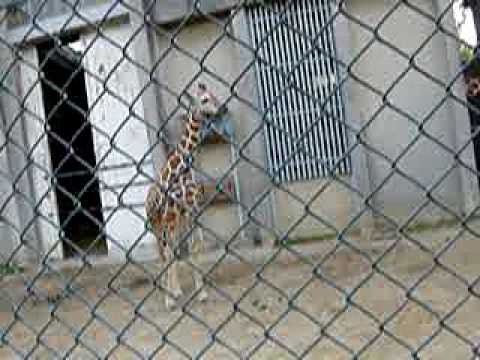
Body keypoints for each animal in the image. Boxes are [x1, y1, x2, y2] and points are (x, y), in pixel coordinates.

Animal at [144, 82, 225, 310]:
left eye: (214, 95)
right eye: (204, 99)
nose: (221, 108)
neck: (183, 169)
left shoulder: (191, 212)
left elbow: (195, 248)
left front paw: (201, 293)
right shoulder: (170, 215)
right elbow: (171, 255)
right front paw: (169, 300)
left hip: (175, 223)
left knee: (171, 250)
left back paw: (176, 289)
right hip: (157, 224)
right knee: (164, 253)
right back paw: (168, 291)